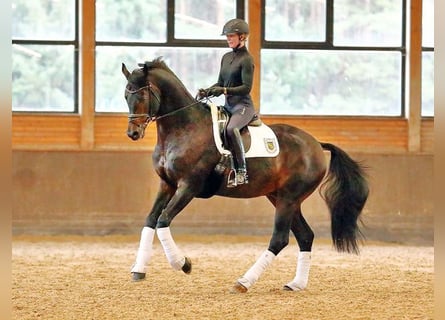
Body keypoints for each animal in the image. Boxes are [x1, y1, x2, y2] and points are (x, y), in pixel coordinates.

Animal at [119, 57, 366, 292]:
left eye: (142, 94)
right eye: (126, 95)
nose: (133, 133)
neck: (184, 129)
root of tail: (315, 144)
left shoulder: (188, 186)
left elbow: (163, 220)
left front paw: (183, 264)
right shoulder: (167, 184)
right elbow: (151, 220)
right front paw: (139, 269)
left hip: (288, 199)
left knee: (280, 239)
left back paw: (244, 282)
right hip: (281, 198)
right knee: (305, 236)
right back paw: (296, 284)